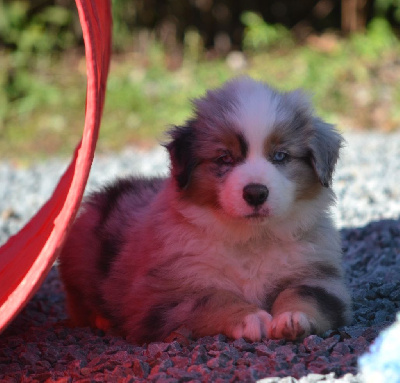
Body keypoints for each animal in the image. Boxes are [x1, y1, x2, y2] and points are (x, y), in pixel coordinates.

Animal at [57, 76, 352, 344]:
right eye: (224, 158)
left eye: (280, 156)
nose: (256, 193)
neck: (250, 238)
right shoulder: (162, 297)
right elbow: (213, 298)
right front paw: (251, 318)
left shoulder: (320, 277)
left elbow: (301, 294)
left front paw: (292, 318)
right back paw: (101, 319)